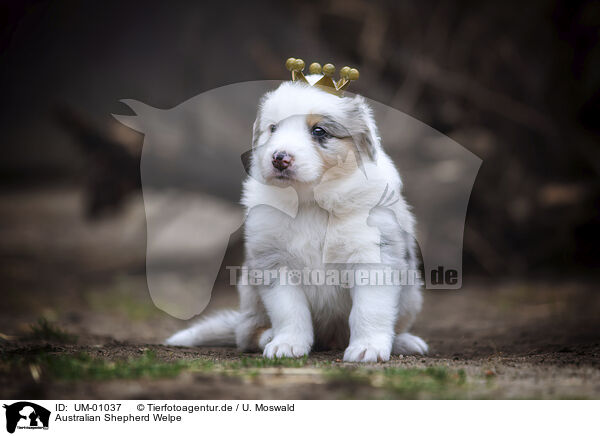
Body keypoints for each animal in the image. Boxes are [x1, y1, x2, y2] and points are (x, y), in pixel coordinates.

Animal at [166, 75, 428, 362]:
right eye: (273, 129)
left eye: (319, 131)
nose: (279, 158)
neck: (311, 202)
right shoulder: (275, 262)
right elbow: (289, 311)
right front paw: (287, 345)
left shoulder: (372, 255)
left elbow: (369, 310)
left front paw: (367, 349)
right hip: (250, 298)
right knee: (246, 334)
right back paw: (268, 336)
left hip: (411, 297)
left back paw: (404, 341)